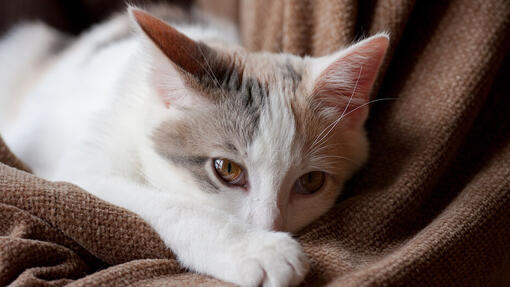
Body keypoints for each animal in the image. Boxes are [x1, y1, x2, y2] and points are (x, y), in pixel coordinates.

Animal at [0, 4, 388, 287]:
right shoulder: (79, 167)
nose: (267, 227)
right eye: (227, 169)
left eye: (310, 182)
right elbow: (165, 201)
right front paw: (256, 249)